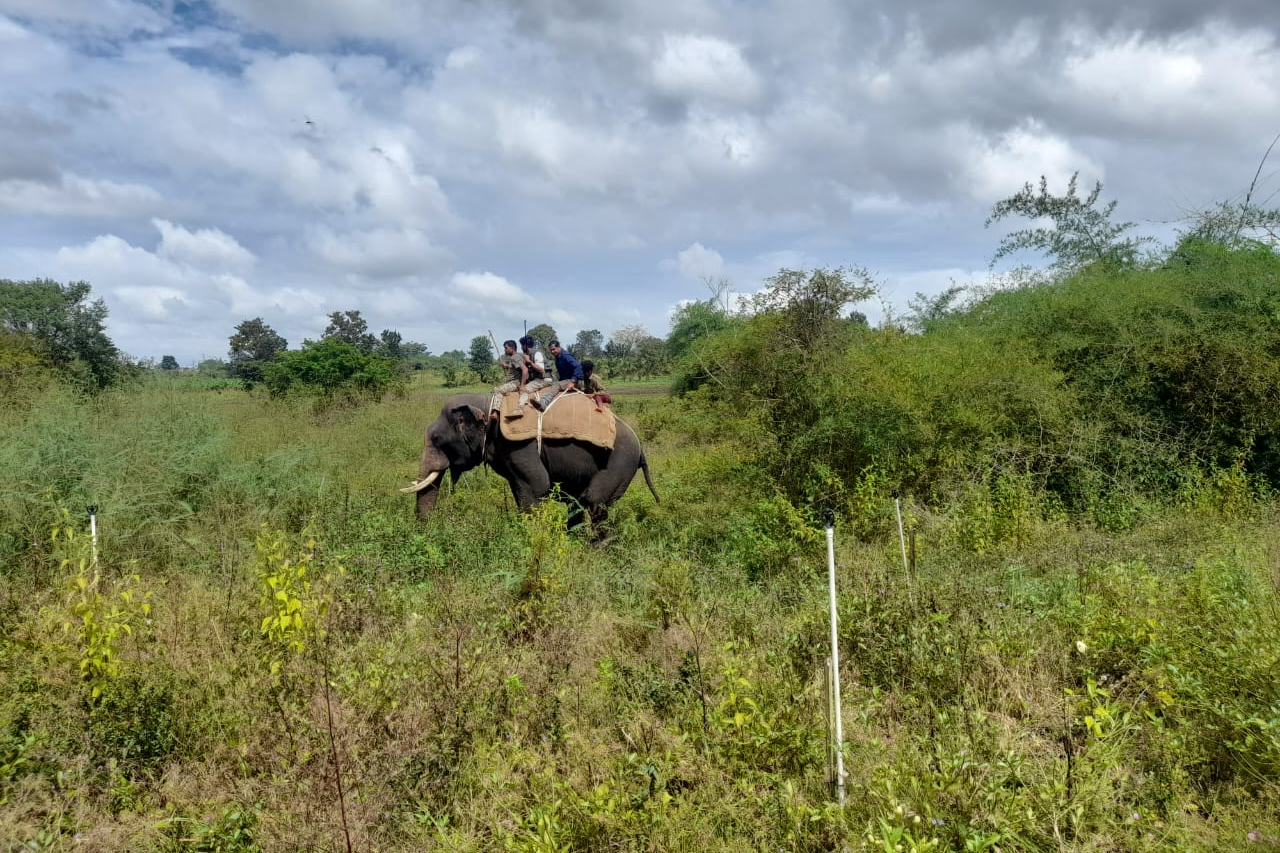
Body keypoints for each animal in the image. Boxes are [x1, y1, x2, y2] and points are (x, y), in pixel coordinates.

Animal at [399, 391, 660, 532]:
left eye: (436, 439)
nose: (427, 531)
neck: (490, 403)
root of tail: (641, 448)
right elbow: (521, 490)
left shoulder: (518, 445)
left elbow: (537, 486)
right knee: (578, 502)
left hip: (618, 463)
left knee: (593, 501)